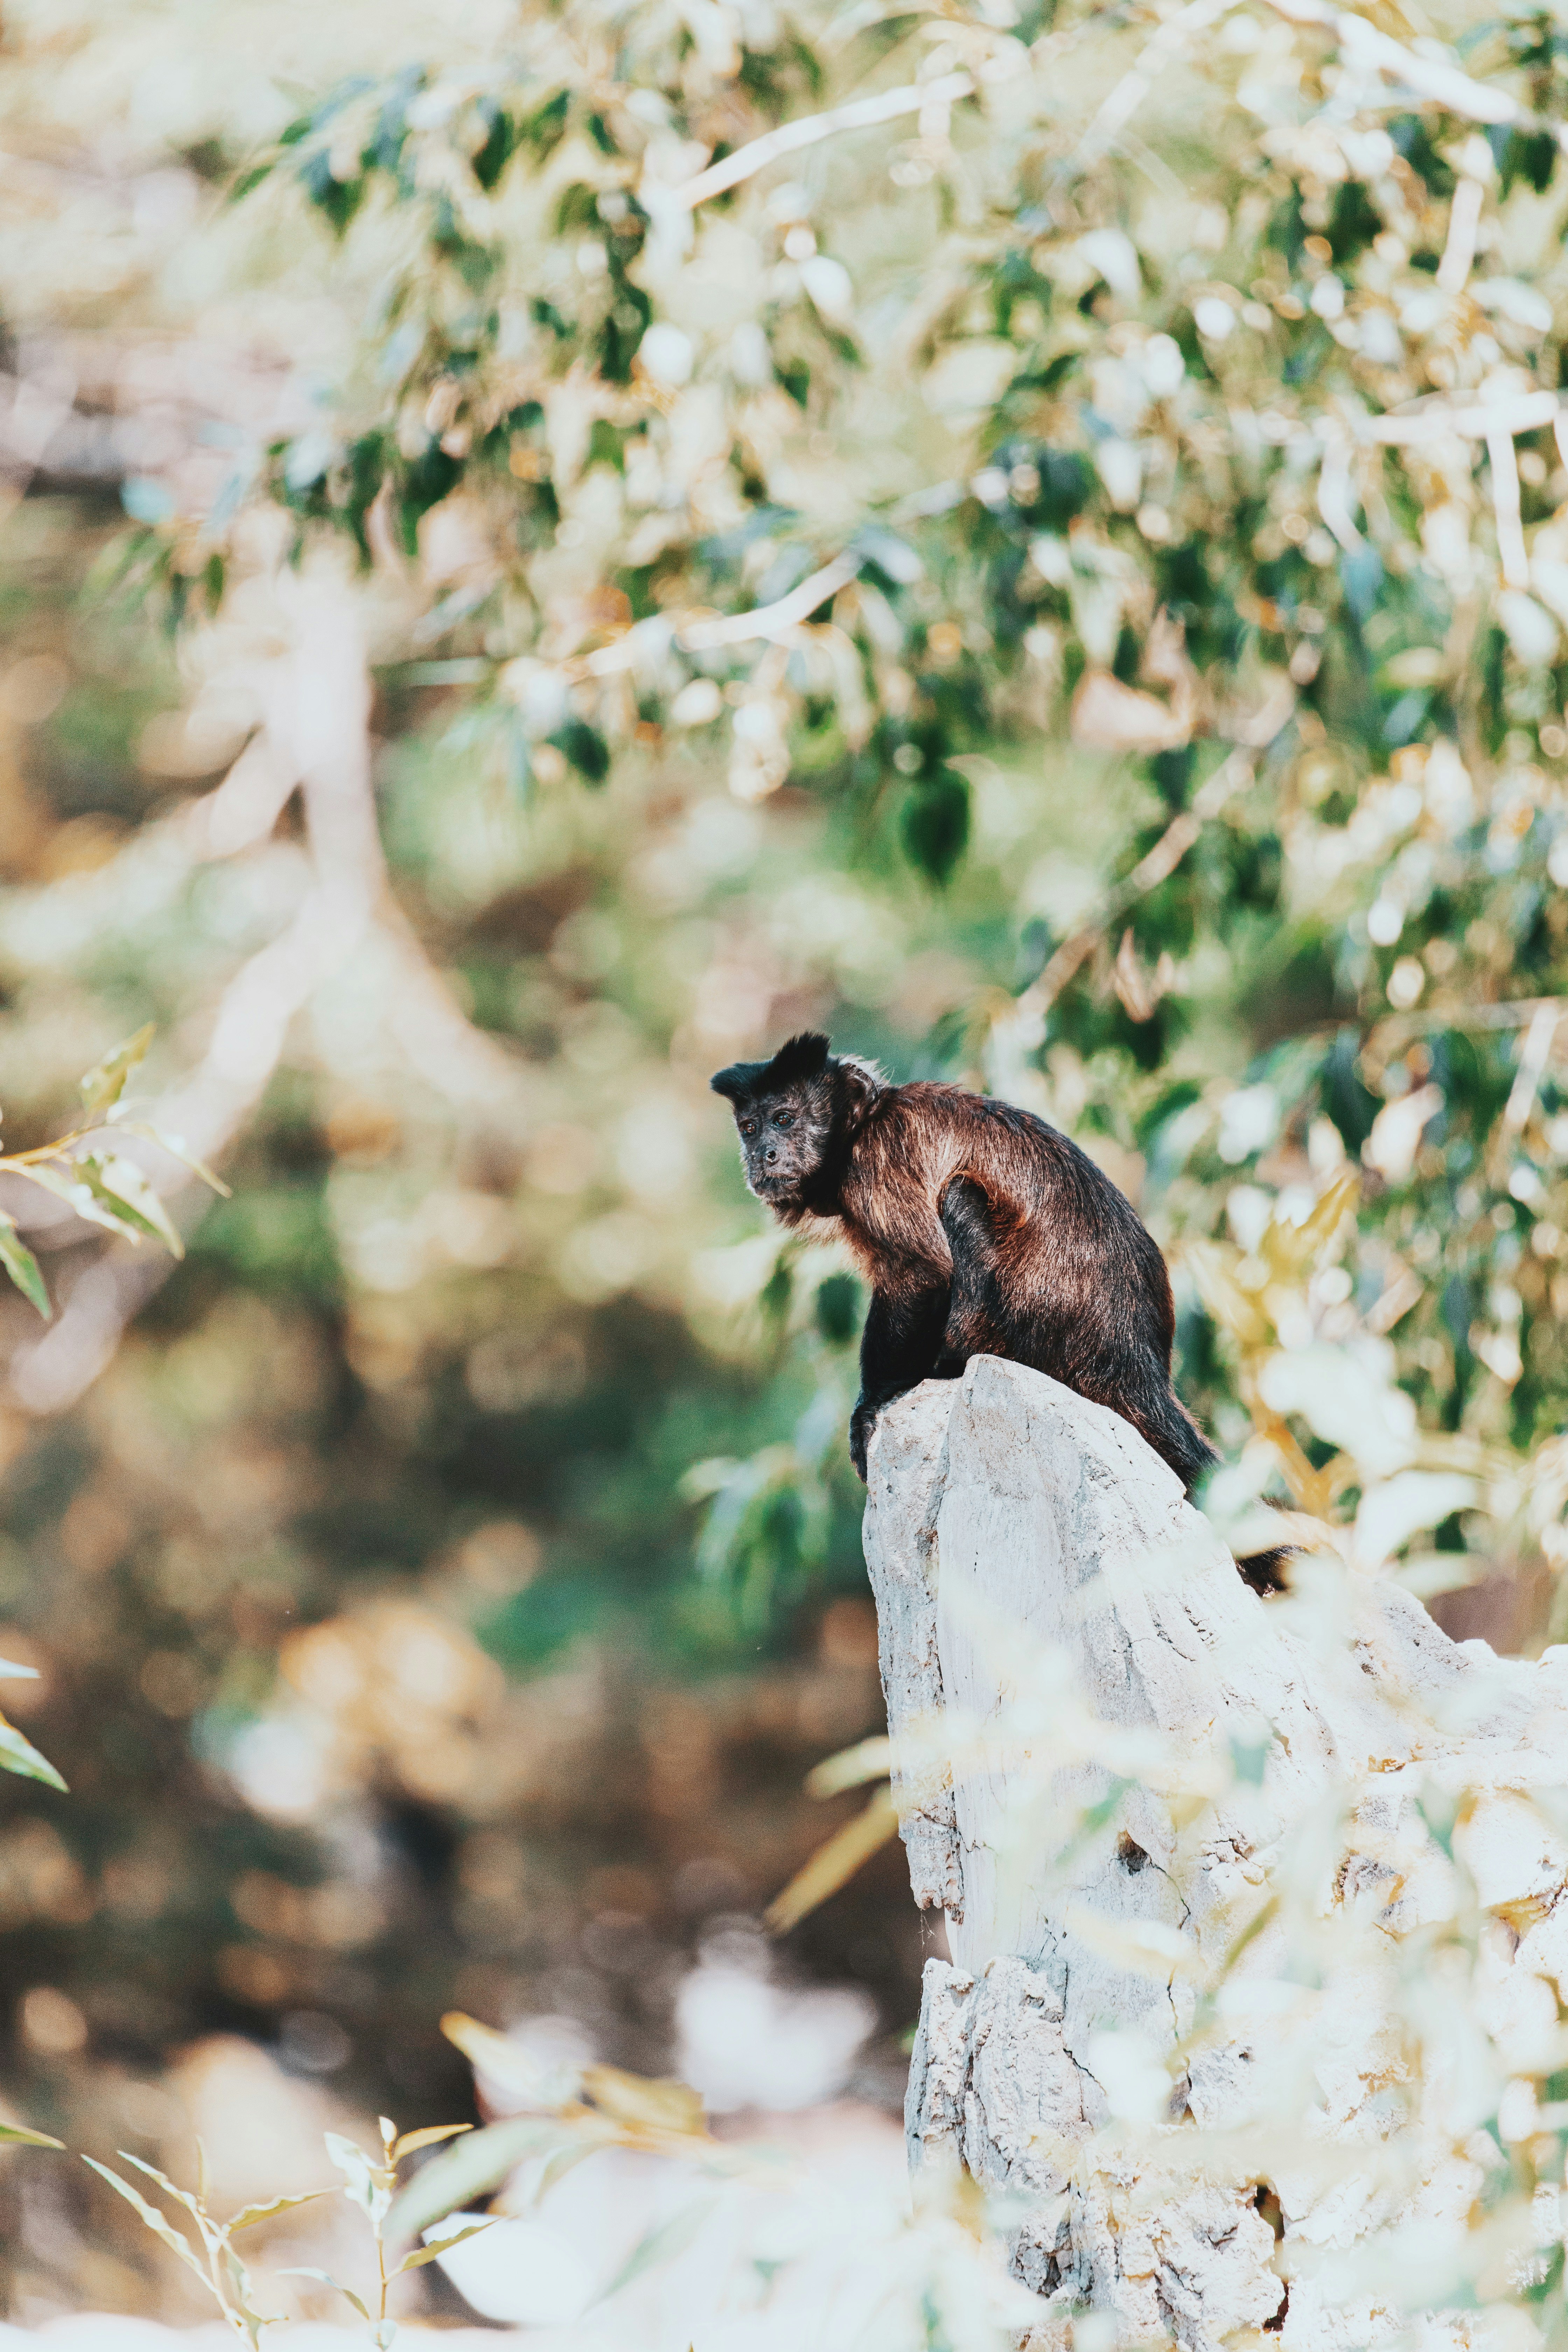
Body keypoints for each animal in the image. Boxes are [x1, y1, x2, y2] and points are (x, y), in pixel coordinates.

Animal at [710, 1035, 1288, 1599]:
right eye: (749, 1127)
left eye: (785, 1118)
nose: (762, 1155)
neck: (862, 1126)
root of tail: (1135, 1360)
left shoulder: (880, 1159)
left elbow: (922, 1272)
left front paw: (873, 1403)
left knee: (961, 1197)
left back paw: (951, 1364)